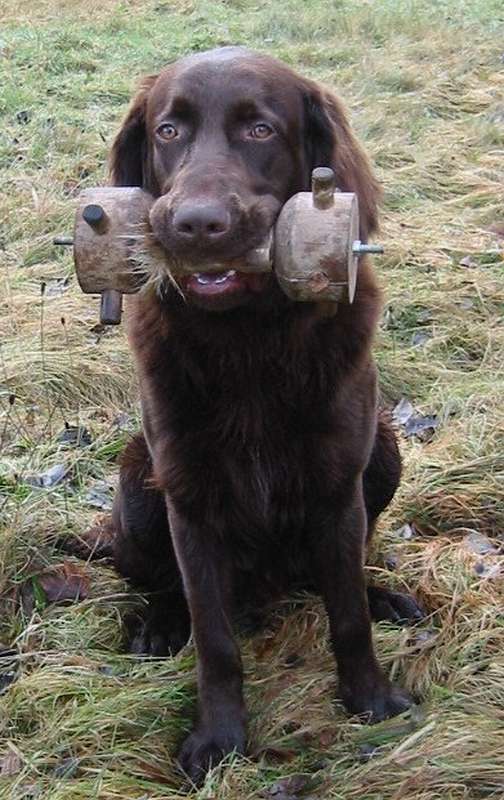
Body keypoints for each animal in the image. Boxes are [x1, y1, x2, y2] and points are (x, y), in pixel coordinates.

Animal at [107, 46, 423, 782]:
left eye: (260, 130)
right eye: (168, 131)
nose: (196, 225)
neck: (248, 339)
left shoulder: (338, 488)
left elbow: (346, 613)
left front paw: (369, 698)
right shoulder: (189, 497)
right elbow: (215, 638)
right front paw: (219, 738)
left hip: (385, 449)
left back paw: (386, 596)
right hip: (137, 480)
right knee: (159, 579)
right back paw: (159, 623)